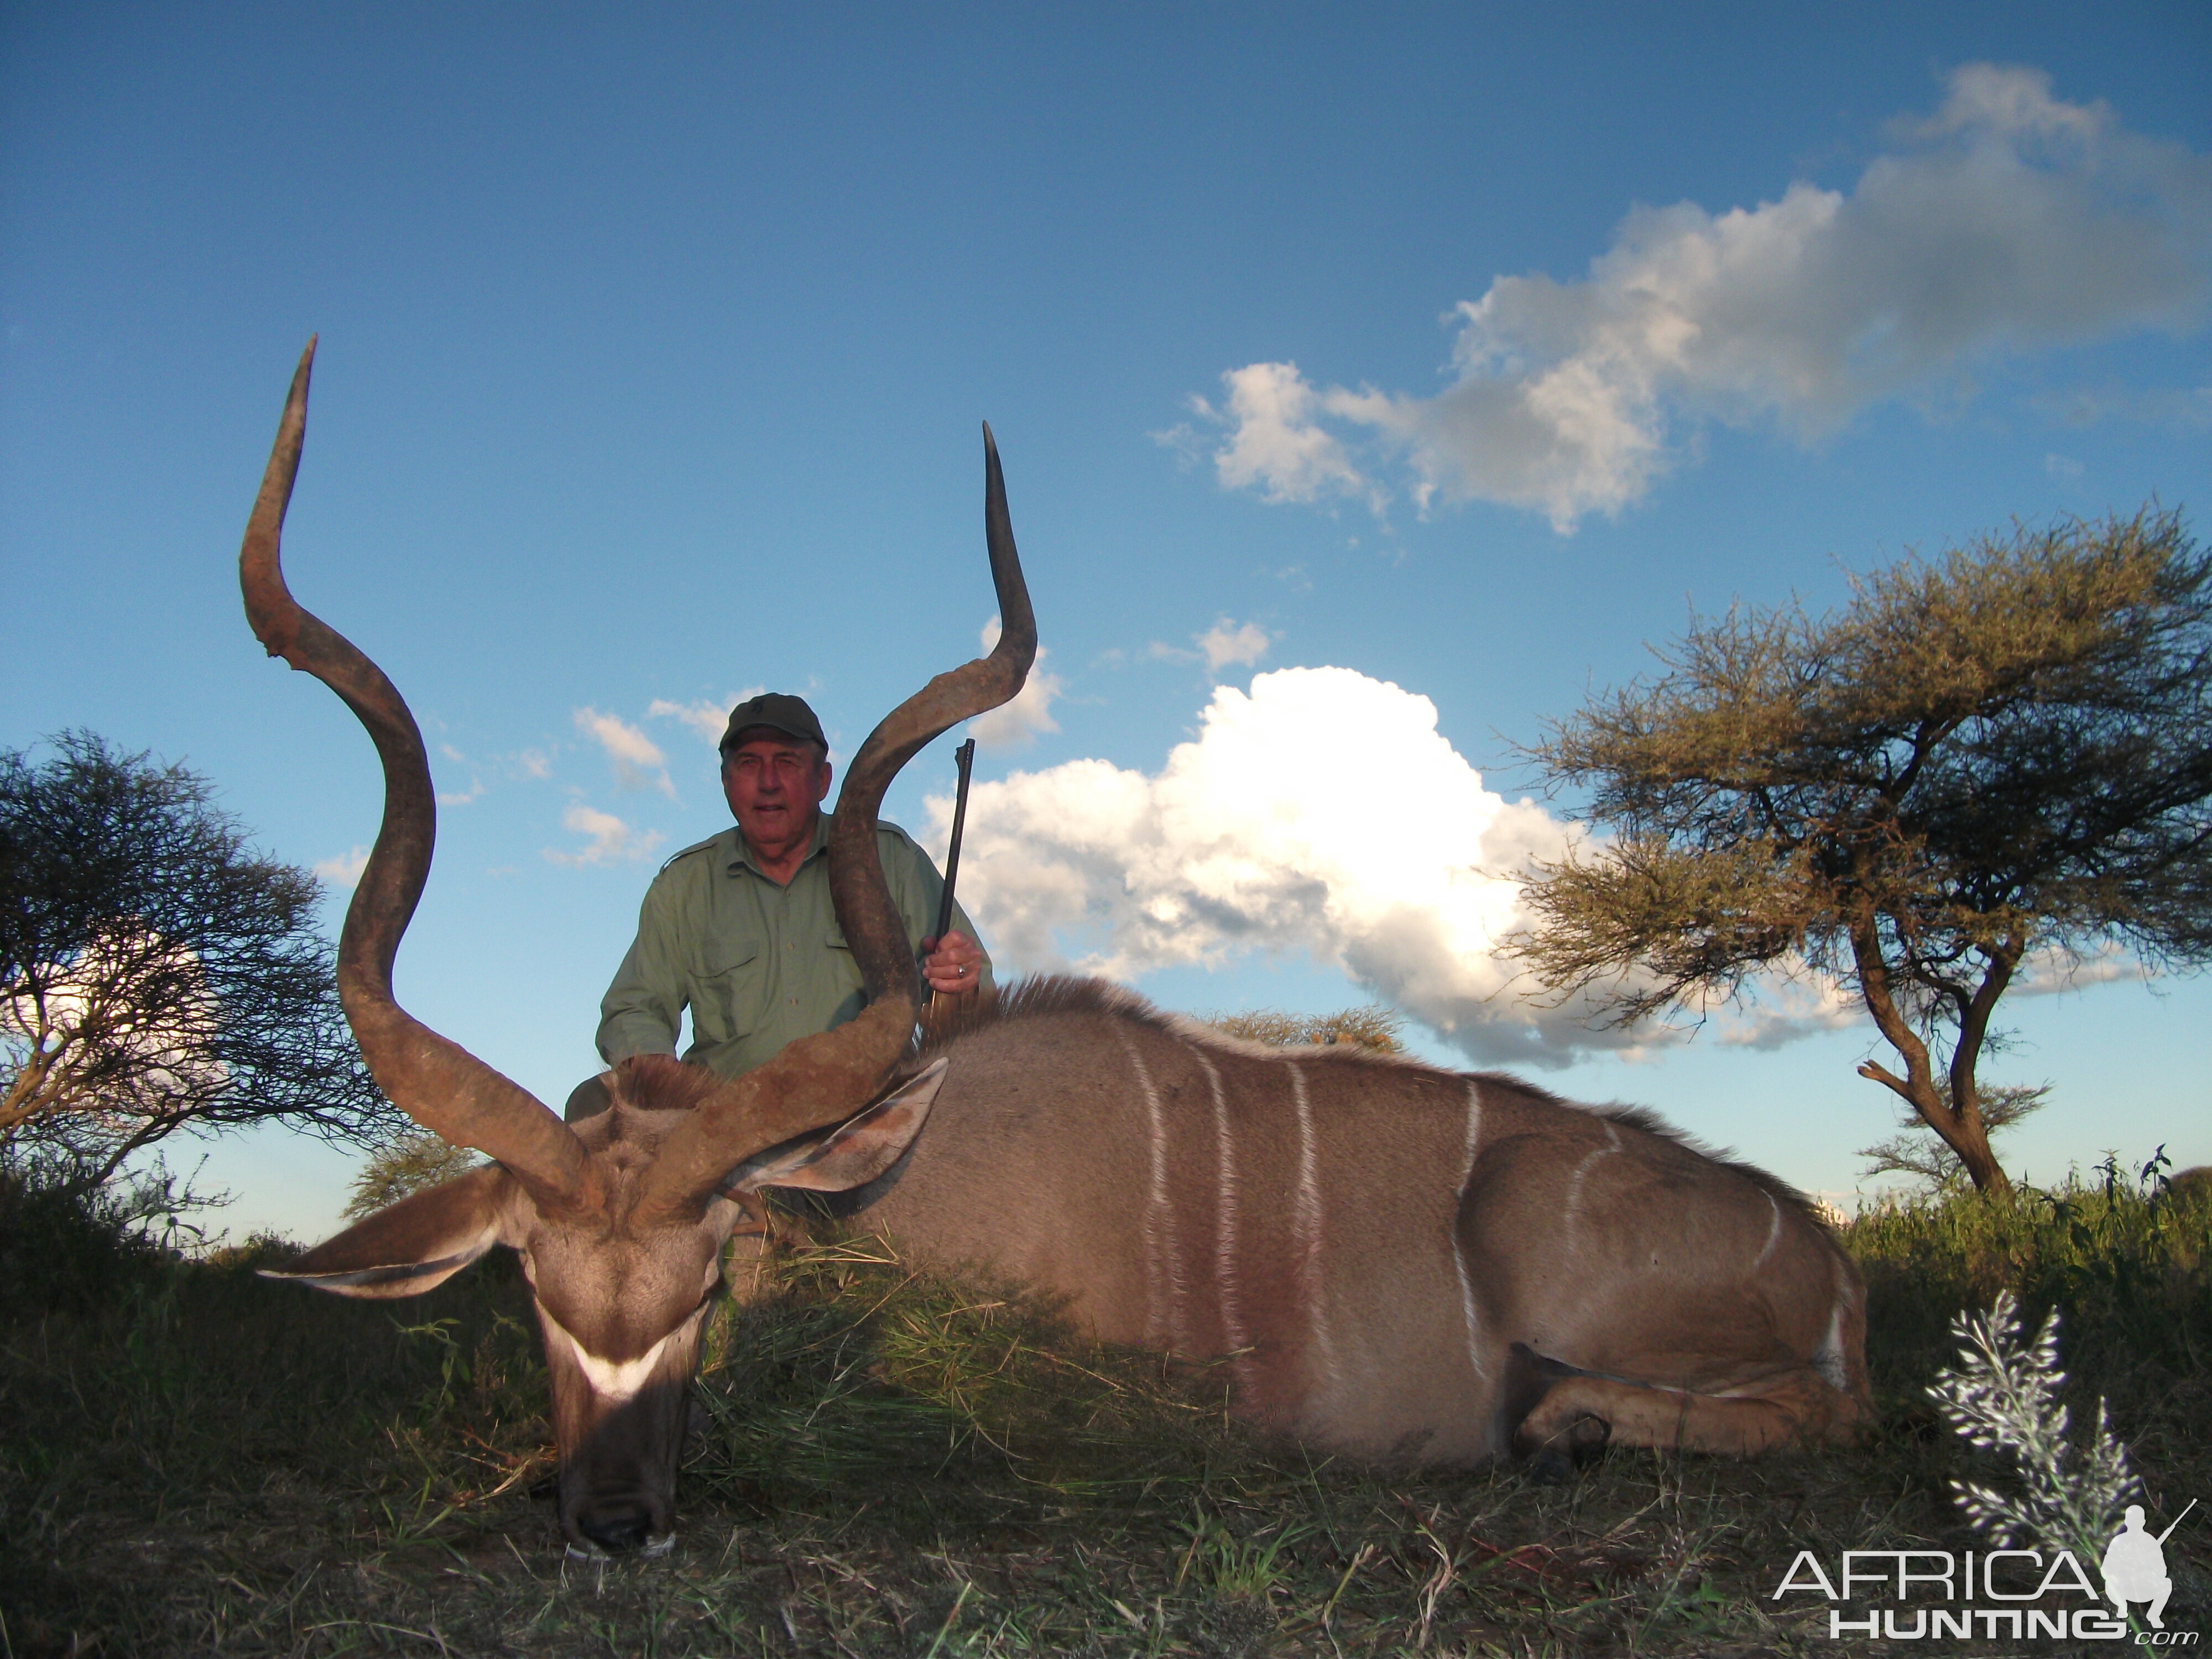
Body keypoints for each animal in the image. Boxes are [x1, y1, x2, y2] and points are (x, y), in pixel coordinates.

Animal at [242, 345, 1867, 1566]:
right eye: (531, 1284)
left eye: (710, 1284)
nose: (618, 1519)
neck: (893, 1203)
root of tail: (1829, 1256)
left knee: (1797, 1415)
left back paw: (1560, 1429)